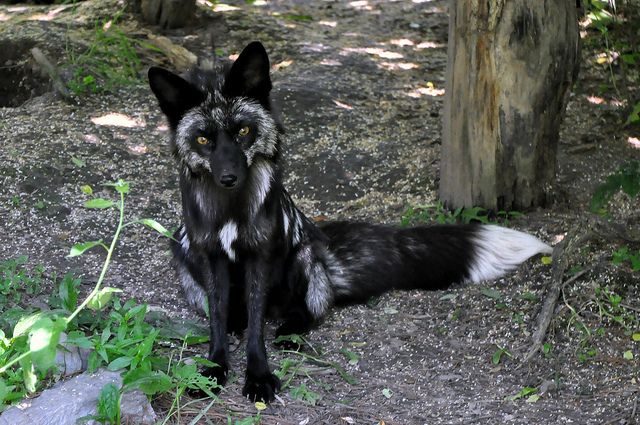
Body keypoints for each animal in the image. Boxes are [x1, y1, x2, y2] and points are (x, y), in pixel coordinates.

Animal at [148, 41, 553, 403]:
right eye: (203, 139)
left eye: (243, 132)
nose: (229, 177)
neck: (231, 210)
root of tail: (325, 249)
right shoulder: (210, 256)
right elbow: (217, 321)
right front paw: (215, 369)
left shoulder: (260, 257)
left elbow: (257, 328)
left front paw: (259, 375)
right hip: (185, 258)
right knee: (233, 314)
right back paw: (239, 322)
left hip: (302, 256)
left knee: (308, 309)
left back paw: (291, 330)